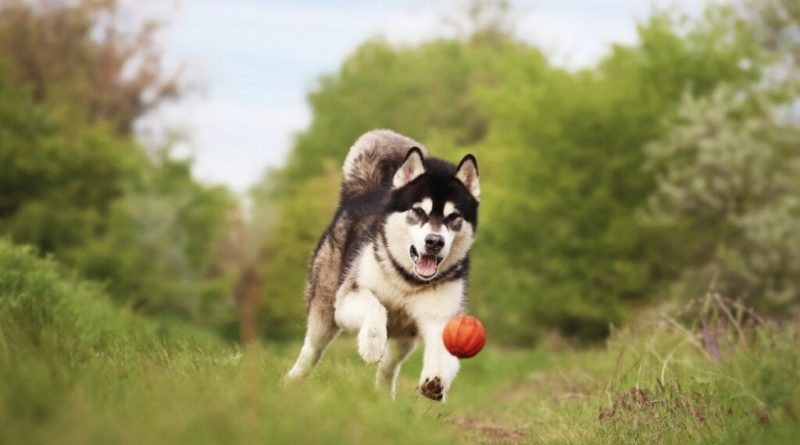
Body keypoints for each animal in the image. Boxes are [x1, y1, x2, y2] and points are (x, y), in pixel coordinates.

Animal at [284, 129, 478, 402]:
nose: (434, 242)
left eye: (453, 217)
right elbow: (375, 308)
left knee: (389, 367)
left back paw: (384, 398)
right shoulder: (349, 297)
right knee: (311, 351)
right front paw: (372, 343)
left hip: (405, 338)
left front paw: (436, 381)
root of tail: (364, 192)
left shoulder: (441, 318)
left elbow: (442, 351)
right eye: (418, 211)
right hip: (324, 309)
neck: (407, 281)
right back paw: (289, 381)